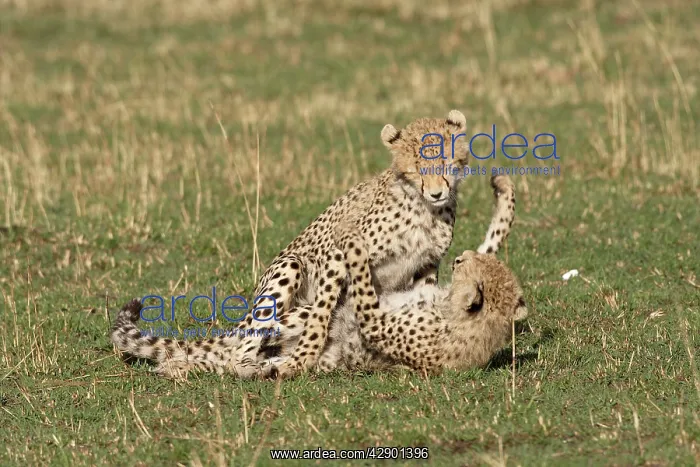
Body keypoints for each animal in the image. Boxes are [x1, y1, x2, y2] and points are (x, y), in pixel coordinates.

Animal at [110, 109, 517, 379]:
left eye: (446, 162)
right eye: (416, 168)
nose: (436, 192)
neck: (422, 208)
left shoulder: (426, 268)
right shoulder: (334, 253)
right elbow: (325, 309)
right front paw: (305, 356)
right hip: (288, 270)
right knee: (239, 347)